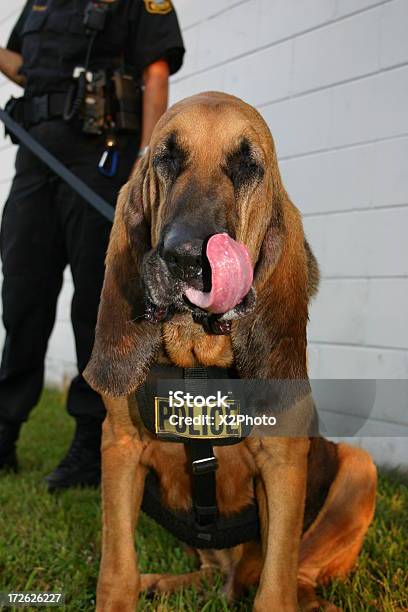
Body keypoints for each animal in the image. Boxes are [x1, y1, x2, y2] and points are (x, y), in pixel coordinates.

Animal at [84, 92, 378, 612]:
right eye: (165, 157)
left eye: (248, 165)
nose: (185, 258)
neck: (197, 366)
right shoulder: (119, 445)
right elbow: (117, 571)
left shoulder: (282, 462)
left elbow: (275, 590)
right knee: (211, 574)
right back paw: (165, 583)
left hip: (359, 468)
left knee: (295, 577)